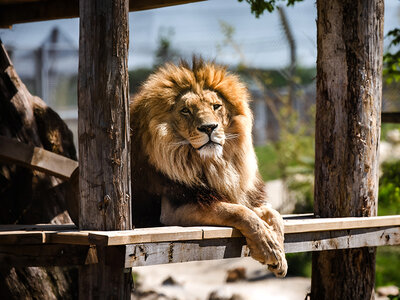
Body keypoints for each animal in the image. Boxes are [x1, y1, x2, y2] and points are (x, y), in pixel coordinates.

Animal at [131, 58, 288, 276]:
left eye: (216, 106)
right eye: (185, 110)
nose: (208, 127)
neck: (213, 164)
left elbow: (274, 214)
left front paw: (279, 252)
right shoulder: (174, 209)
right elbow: (238, 211)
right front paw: (269, 247)